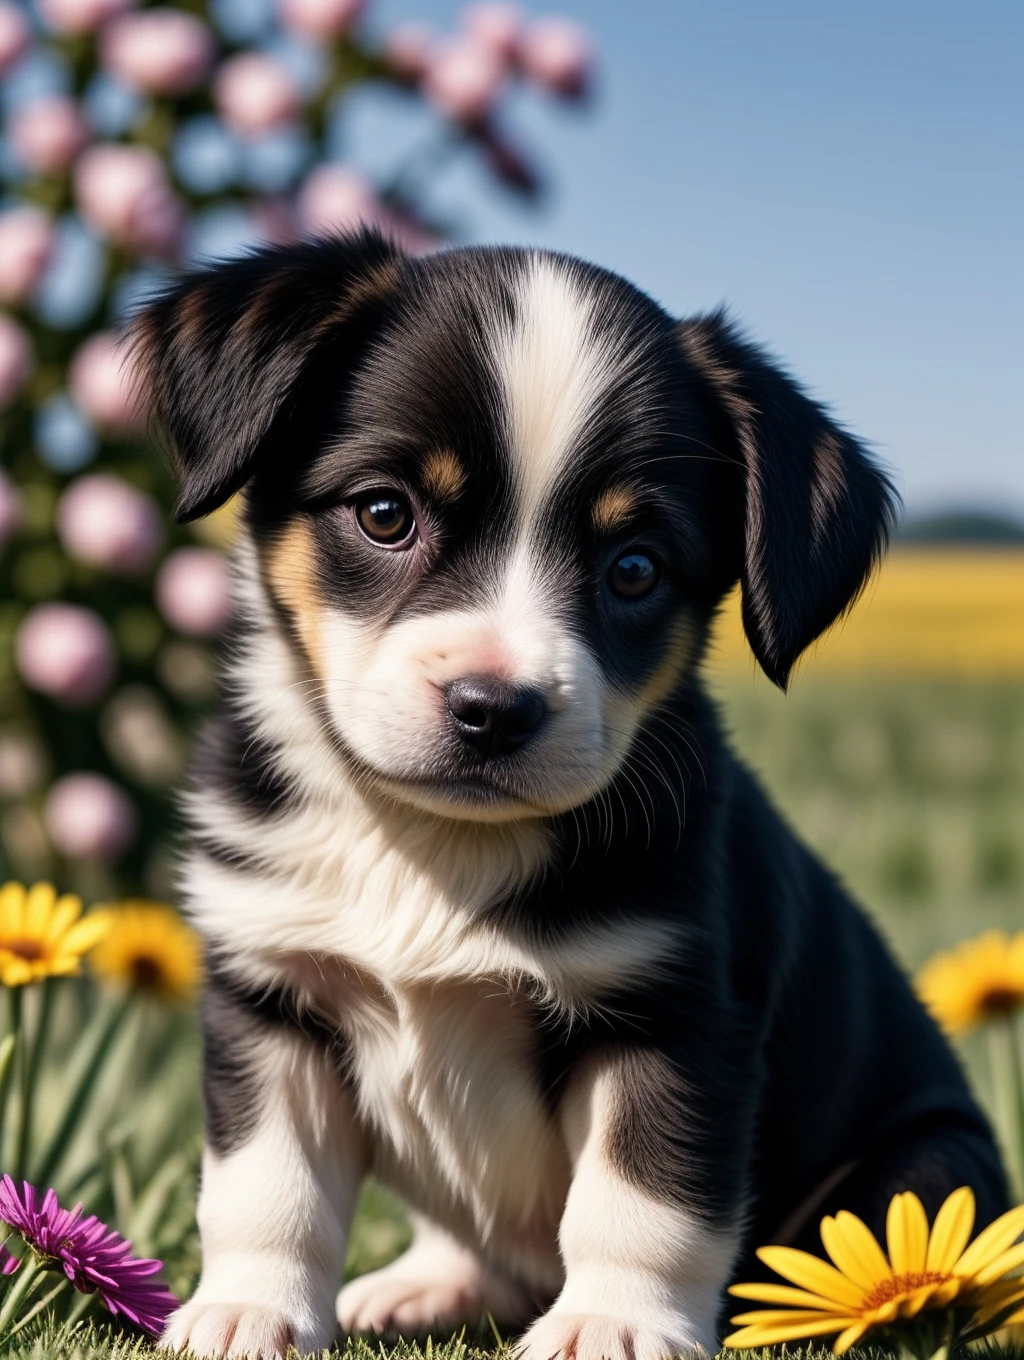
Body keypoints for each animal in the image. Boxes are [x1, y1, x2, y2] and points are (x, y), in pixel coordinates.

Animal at [135, 233, 1006, 1360]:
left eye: (634, 568)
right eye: (384, 512)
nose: (492, 708)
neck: (430, 849)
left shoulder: (674, 1015)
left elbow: (639, 1203)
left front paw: (611, 1324)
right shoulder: (270, 991)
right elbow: (264, 1185)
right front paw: (250, 1308)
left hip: (934, 1158)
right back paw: (423, 1286)